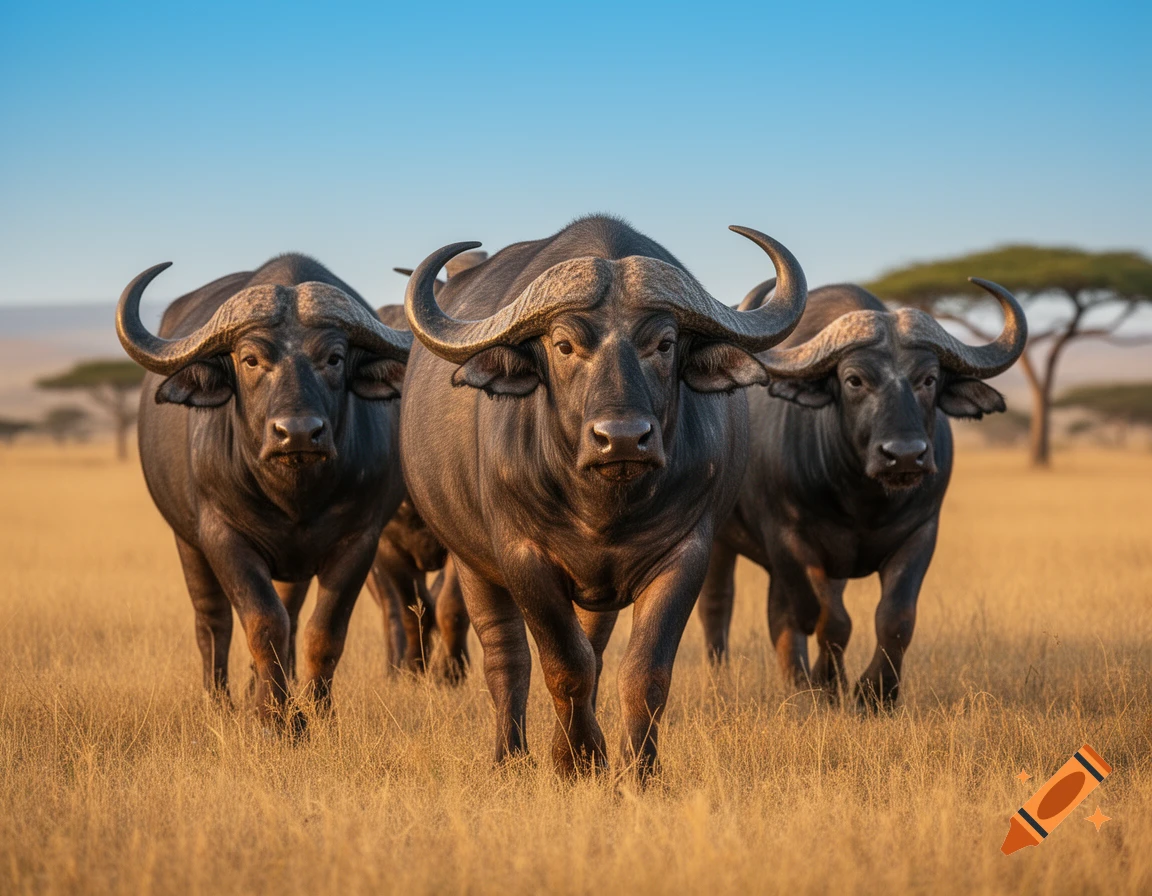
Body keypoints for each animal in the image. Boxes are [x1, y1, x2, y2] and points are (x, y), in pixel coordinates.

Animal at [116, 254, 411, 731]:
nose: (298, 433)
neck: (294, 495)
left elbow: (322, 632)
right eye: (250, 359)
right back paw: (220, 701)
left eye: (334, 357)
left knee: (291, 616)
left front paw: (317, 715)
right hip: (187, 542)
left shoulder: (359, 541)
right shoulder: (223, 537)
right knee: (213, 621)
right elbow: (262, 623)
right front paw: (274, 719)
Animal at [399, 216, 807, 777]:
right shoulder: (522, 557)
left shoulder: (686, 556)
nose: (623, 438)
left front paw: (637, 769)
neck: (603, 506)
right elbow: (564, 666)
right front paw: (580, 760)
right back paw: (510, 756)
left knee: (592, 646)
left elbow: (642, 672)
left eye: (664, 343)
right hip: (470, 563)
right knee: (507, 658)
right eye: (564, 345)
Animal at [697, 278, 1026, 706]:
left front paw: (876, 692)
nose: (905, 455)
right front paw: (830, 684)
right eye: (854, 379)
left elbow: (895, 618)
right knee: (719, 605)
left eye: (929, 379)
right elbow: (830, 619)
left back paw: (797, 681)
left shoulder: (920, 534)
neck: (864, 502)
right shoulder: (793, 539)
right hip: (720, 542)